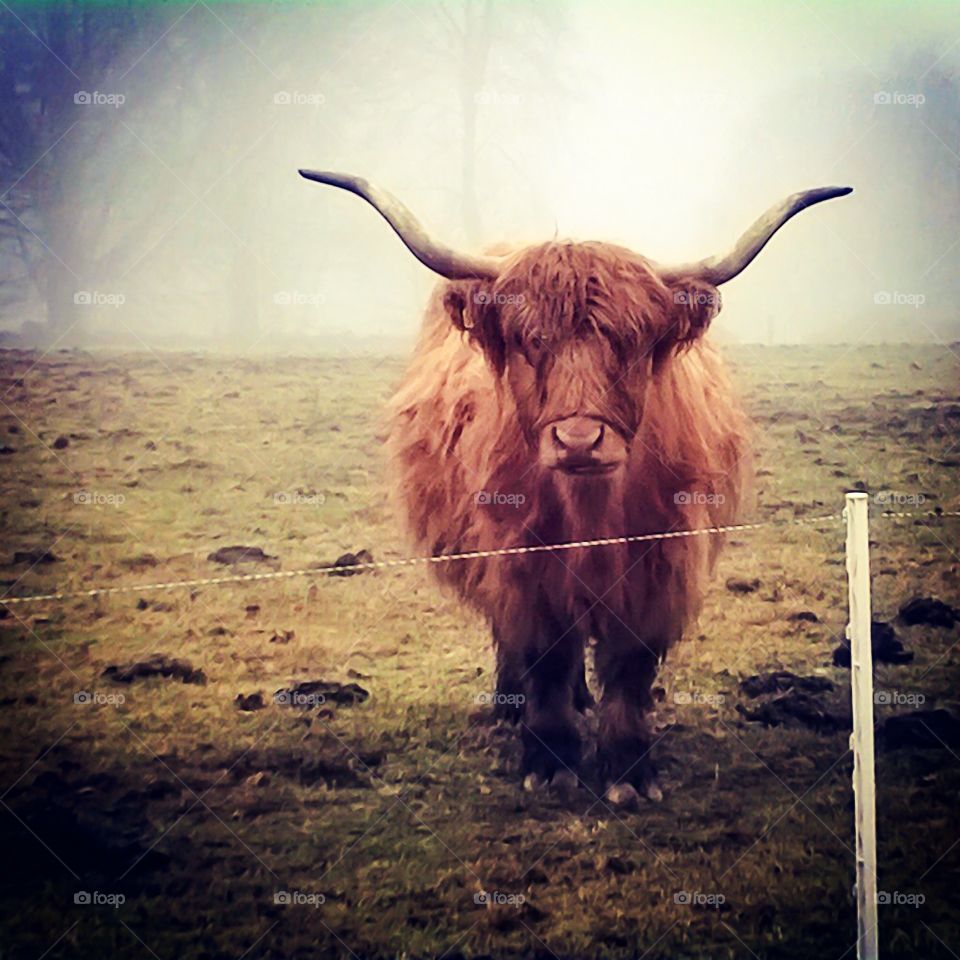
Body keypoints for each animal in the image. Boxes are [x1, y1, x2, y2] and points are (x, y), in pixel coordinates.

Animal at [300, 169, 851, 806]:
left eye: (632, 342)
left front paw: (628, 769)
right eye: (530, 341)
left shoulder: (660, 563)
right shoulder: (521, 562)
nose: (580, 441)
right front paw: (550, 760)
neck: (592, 513)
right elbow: (543, 657)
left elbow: (630, 666)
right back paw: (512, 707)